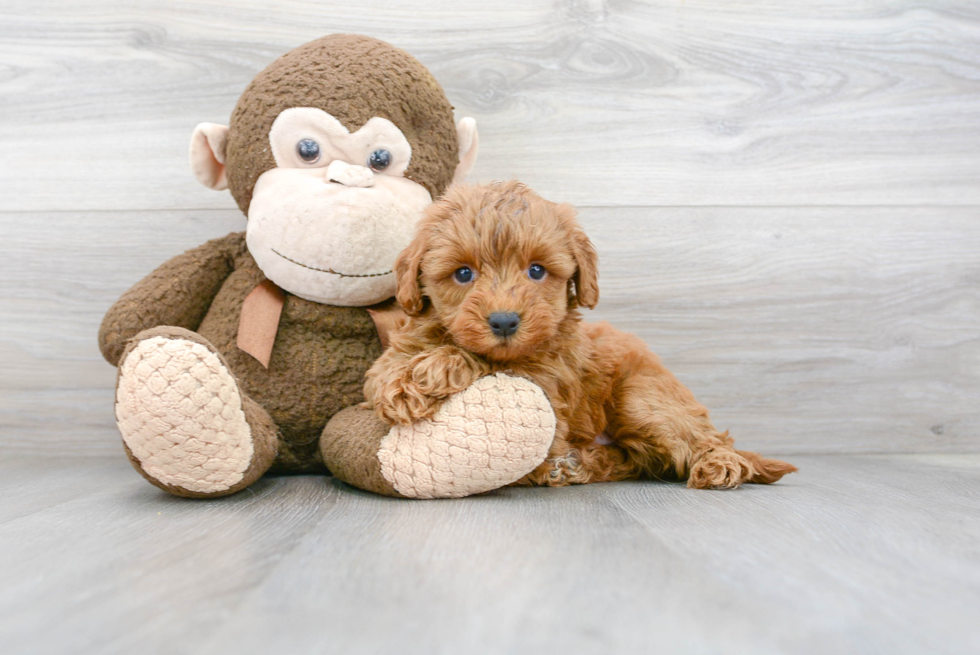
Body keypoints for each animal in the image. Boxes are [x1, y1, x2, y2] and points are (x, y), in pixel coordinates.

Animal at [366, 182, 796, 490]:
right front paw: (402, 381)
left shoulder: (545, 378)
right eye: (463, 274)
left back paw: (719, 464)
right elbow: (385, 372)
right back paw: (573, 465)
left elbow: (481, 359)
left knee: (707, 439)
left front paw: (425, 374)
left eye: (537, 271)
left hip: (643, 398)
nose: (504, 322)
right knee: (634, 461)